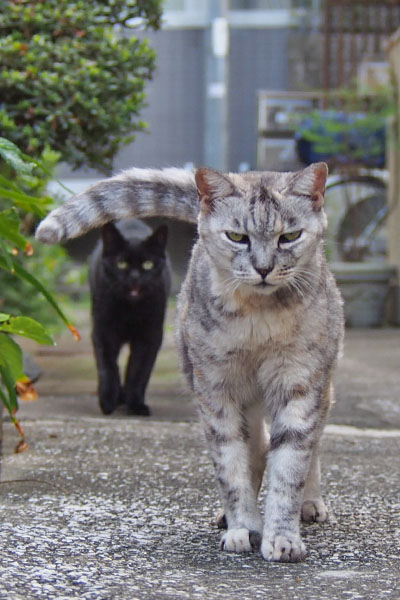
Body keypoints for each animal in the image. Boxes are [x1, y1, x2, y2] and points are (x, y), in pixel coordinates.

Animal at [89, 218, 170, 414]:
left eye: (148, 264)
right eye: (122, 264)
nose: (134, 276)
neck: (130, 311)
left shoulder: (150, 336)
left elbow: (138, 371)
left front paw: (136, 404)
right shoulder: (102, 331)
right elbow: (108, 366)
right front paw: (108, 401)